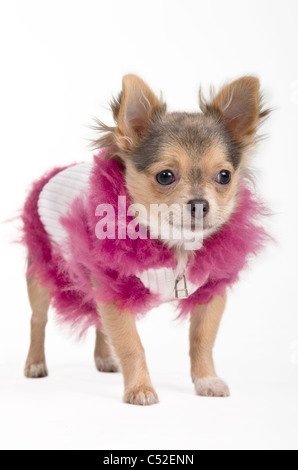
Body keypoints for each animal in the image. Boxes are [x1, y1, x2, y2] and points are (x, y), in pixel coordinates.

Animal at [23, 73, 268, 404]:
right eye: (165, 176)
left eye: (224, 176)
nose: (199, 204)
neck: (175, 244)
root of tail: (55, 173)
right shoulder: (114, 288)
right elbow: (131, 344)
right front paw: (139, 389)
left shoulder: (210, 292)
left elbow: (202, 340)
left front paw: (206, 380)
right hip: (42, 271)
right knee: (38, 320)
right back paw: (35, 363)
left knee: (98, 320)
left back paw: (105, 358)